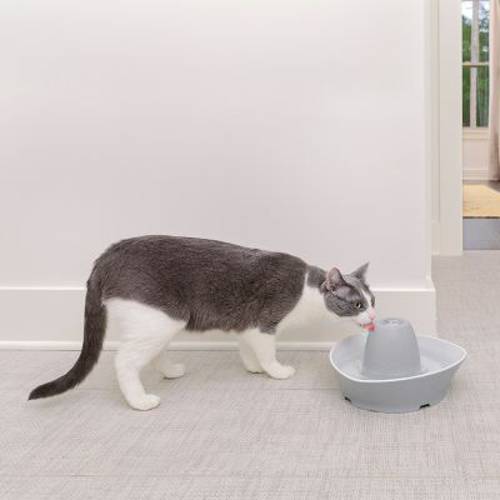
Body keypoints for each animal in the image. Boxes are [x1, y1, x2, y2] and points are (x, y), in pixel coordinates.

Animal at [29, 235, 376, 410]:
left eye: (373, 301)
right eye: (357, 304)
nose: (373, 317)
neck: (307, 291)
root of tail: (106, 256)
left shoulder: (246, 324)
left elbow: (247, 348)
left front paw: (252, 368)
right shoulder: (264, 323)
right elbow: (267, 352)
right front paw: (276, 371)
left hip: (162, 321)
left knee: (151, 353)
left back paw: (170, 371)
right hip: (159, 317)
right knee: (124, 360)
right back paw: (141, 401)